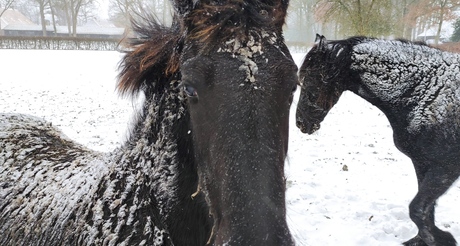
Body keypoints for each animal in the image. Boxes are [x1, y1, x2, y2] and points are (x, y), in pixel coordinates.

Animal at [296, 35, 458, 246]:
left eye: (311, 79)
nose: (300, 122)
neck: (425, 93)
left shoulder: (445, 167)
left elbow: (417, 209)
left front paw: (441, 238)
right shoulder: (422, 164)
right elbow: (426, 210)